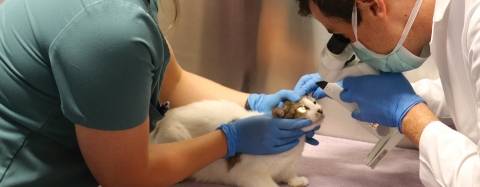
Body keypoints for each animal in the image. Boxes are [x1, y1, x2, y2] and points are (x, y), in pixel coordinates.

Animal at [150, 96, 322, 187]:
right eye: (302, 108)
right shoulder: (252, 175)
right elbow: (270, 185)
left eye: (314, 102)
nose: (320, 110)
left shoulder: (289, 166)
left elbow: (290, 175)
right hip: (177, 135)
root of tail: (162, 121)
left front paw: (297, 180)